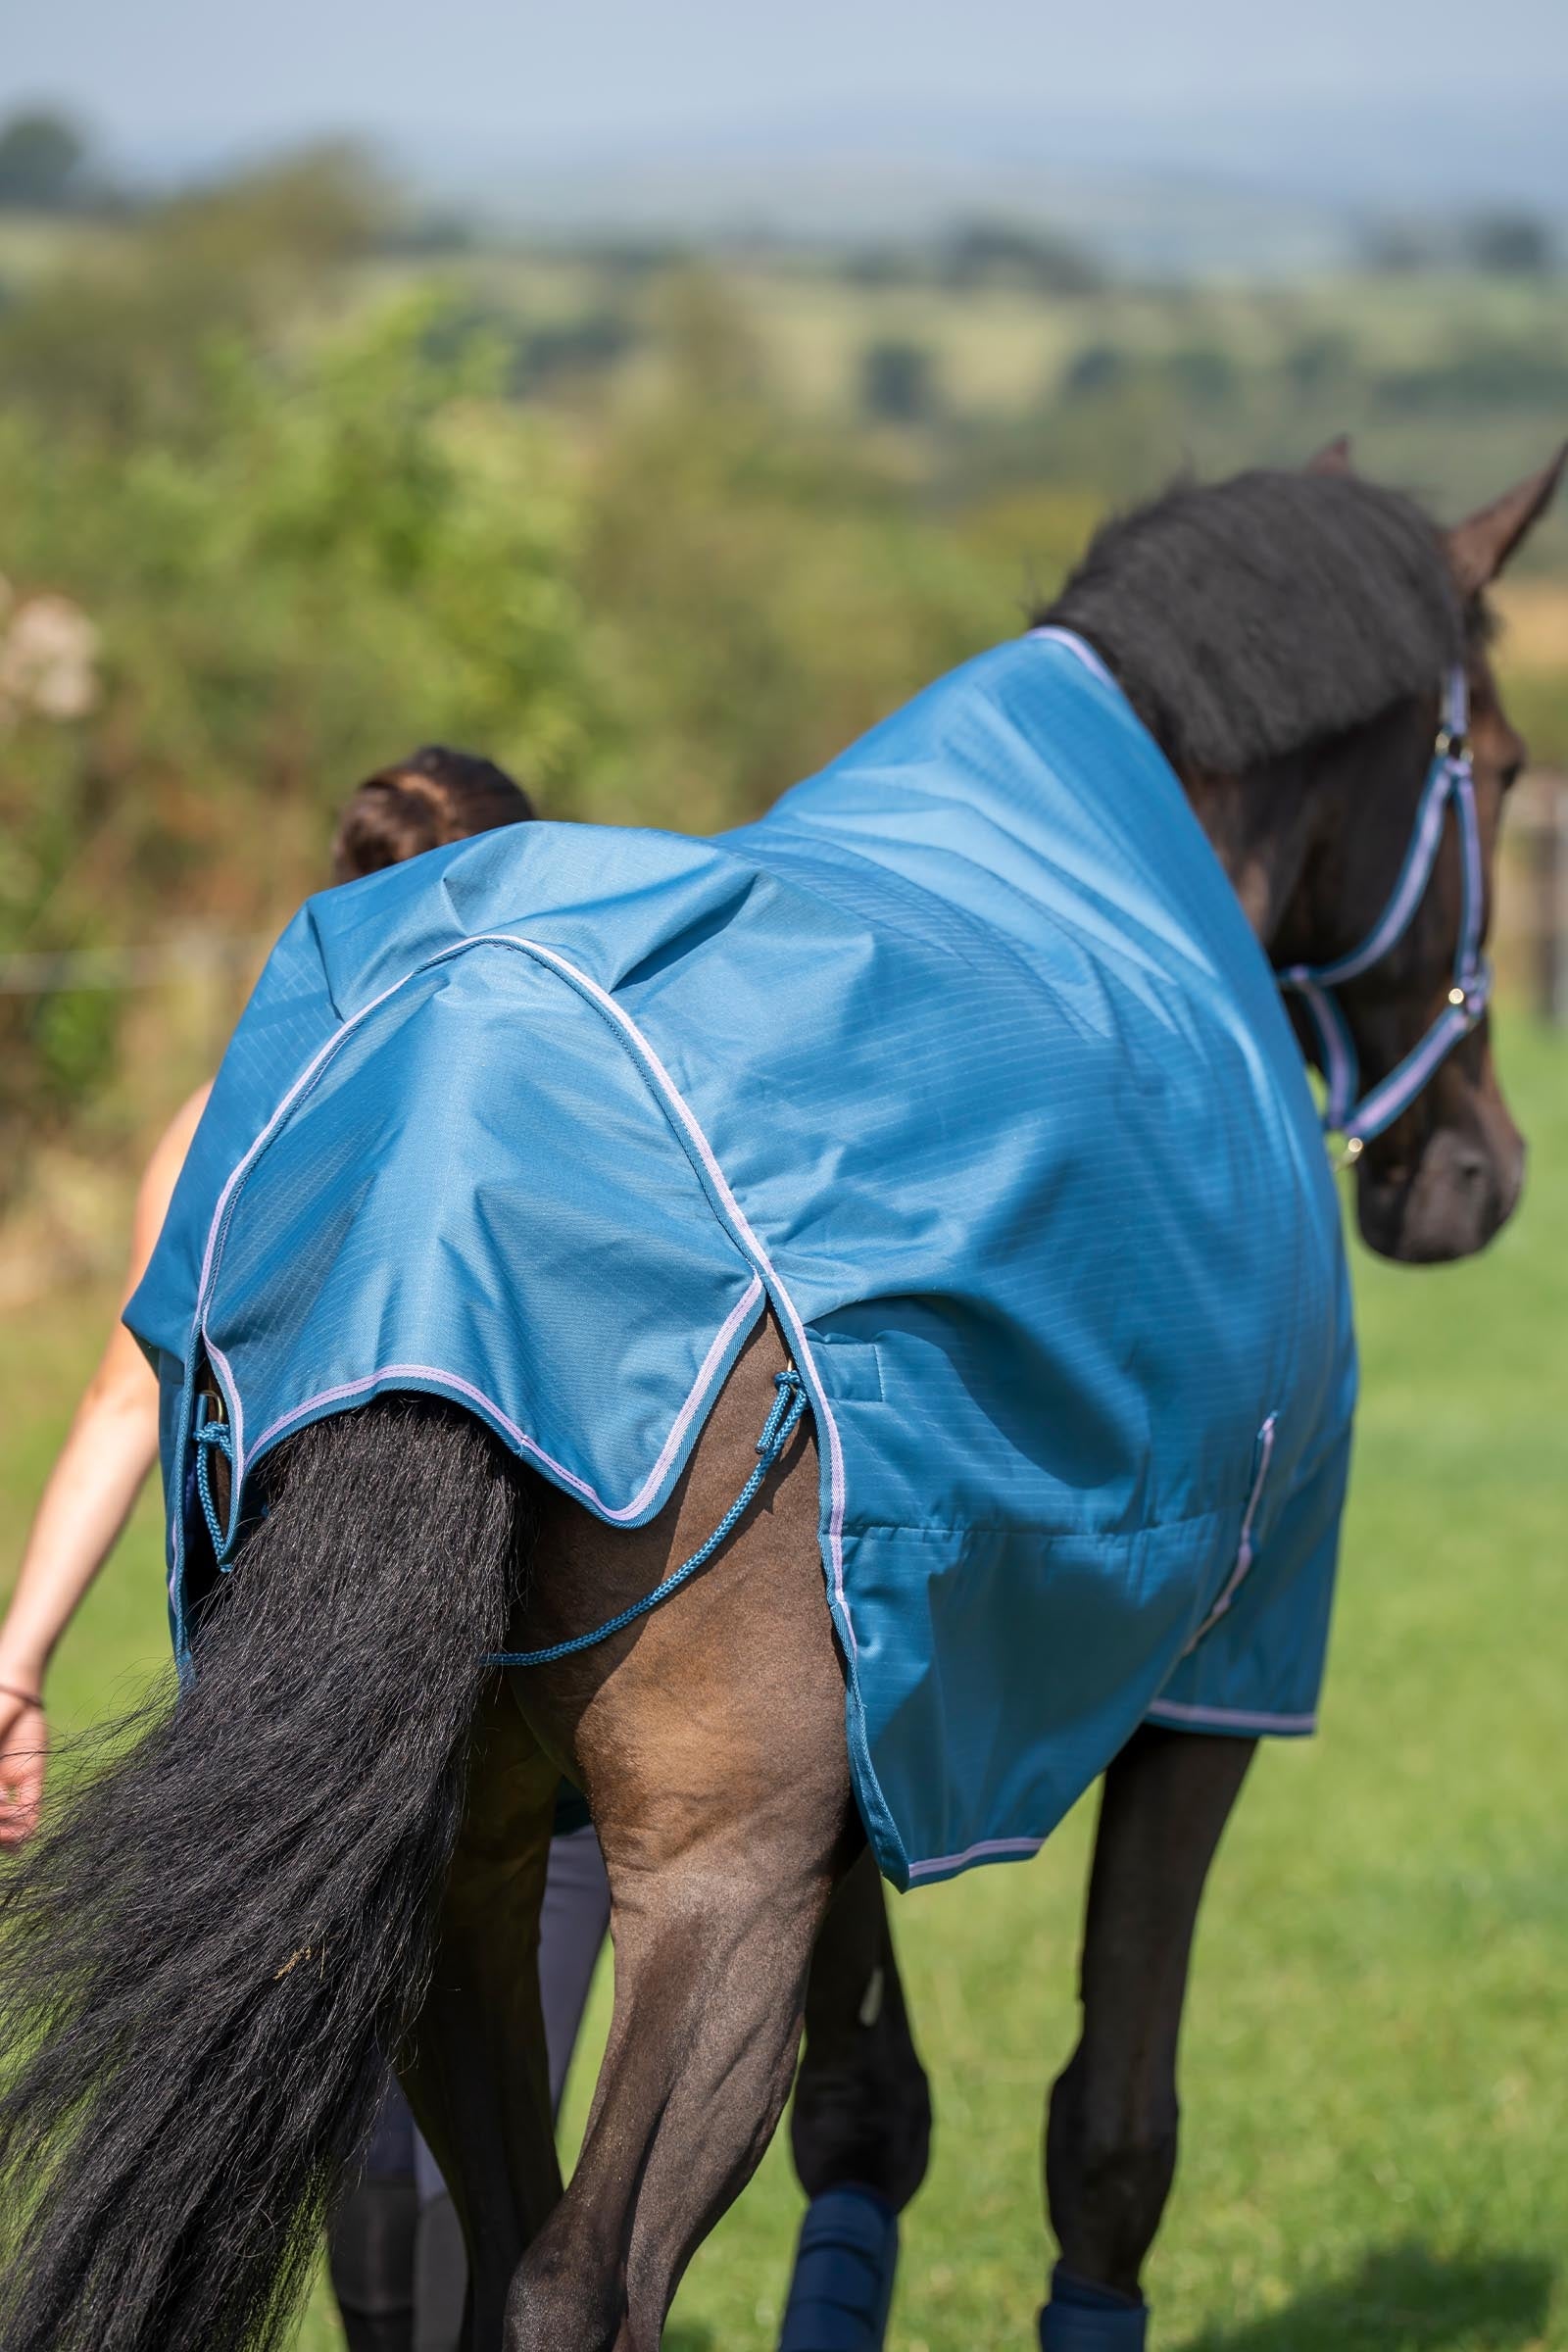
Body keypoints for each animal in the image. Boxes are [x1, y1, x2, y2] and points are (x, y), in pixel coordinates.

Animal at [0, 446, 1559, 2352]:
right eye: (1501, 763)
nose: (1474, 1175)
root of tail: (436, 1164)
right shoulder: (1213, 1691)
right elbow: (1113, 2136)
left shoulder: (887, 1723)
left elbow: (871, 2114)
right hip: (708, 1879)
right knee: (577, 2276)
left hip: (464, 1872)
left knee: (502, 2234)